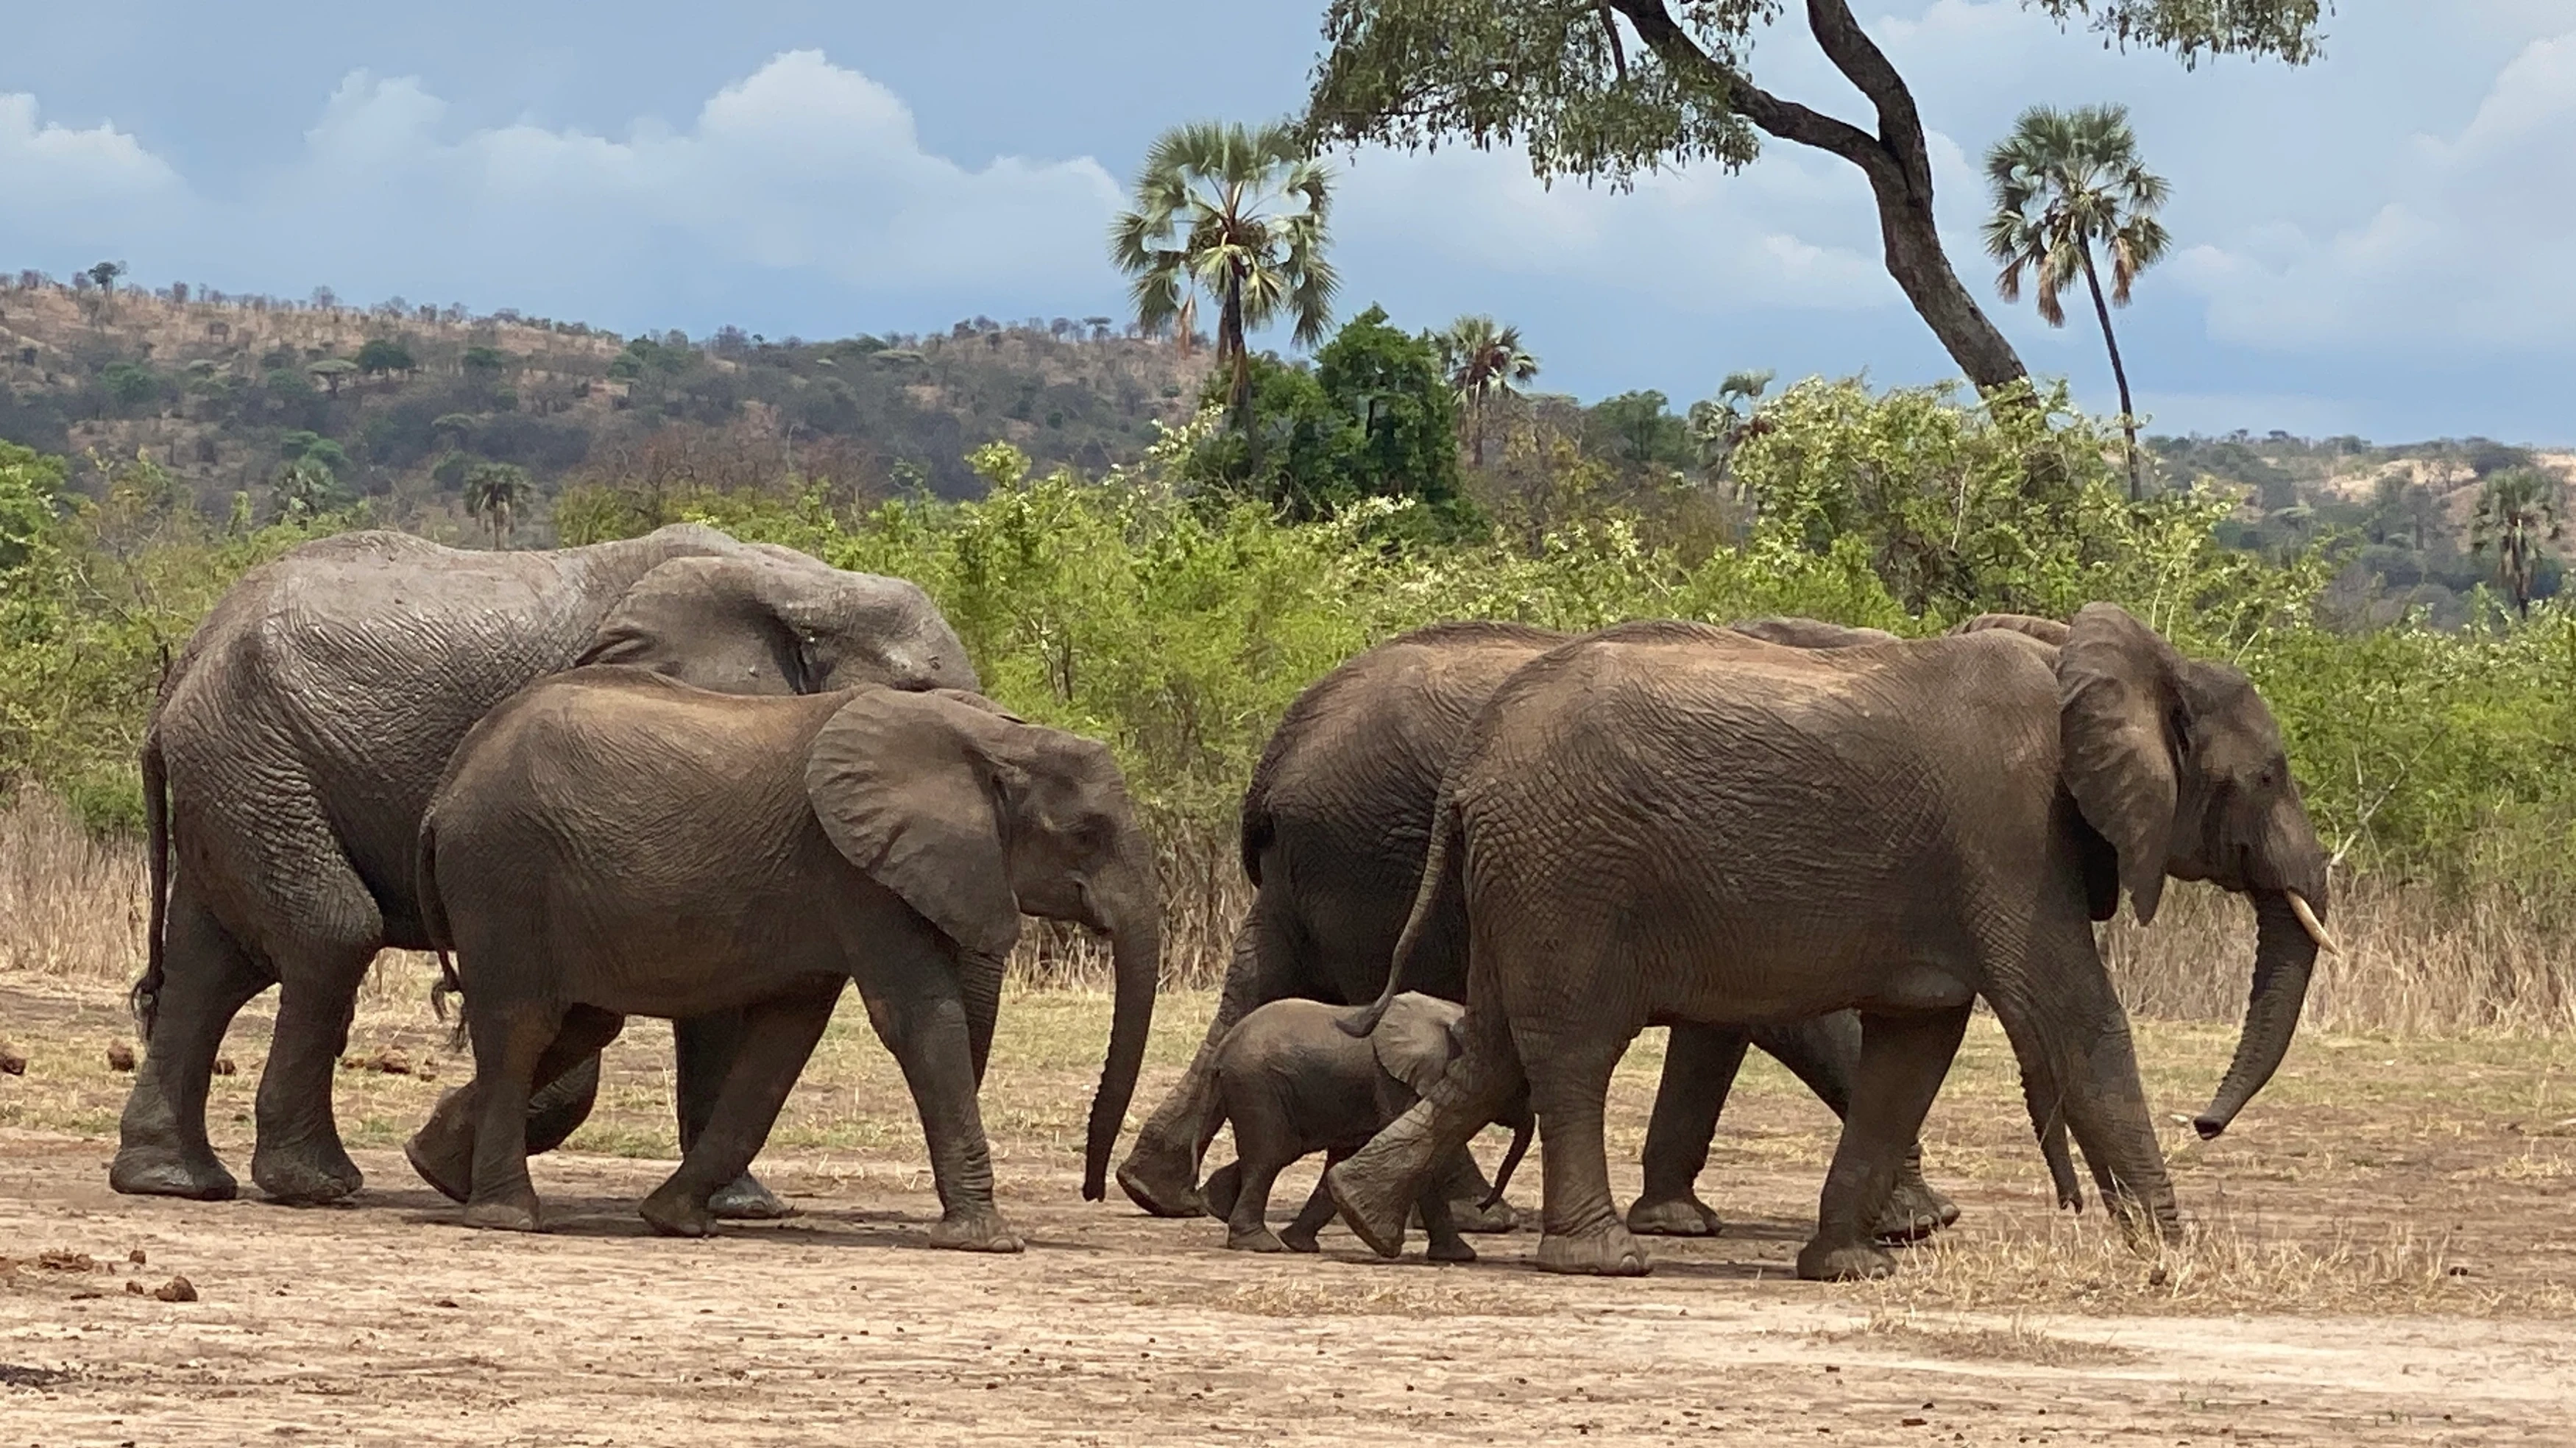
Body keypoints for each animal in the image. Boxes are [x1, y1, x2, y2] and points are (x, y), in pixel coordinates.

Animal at [114, 523, 977, 1209]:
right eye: (916, 695)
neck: (807, 585)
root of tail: (188, 657)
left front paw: (739, 1207)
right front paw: (452, 1168)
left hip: (238, 768)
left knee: (210, 965)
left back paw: (173, 1182)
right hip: (256, 758)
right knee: (328, 936)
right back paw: (317, 1188)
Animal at [404, 669, 1159, 1246]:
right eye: (1086, 834)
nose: (1094, 1192)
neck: (994, 738)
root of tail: (443, 793)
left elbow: (781, 1045)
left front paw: (675, 1221)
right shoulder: (854, 871)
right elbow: (917, 1018)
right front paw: (989, 1241)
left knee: (578, 1024)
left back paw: (437, 1171)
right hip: (502, 873)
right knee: (523, 1023)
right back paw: (506, 1218)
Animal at [1196, 993, 1532, 1257]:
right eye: (1518, 1086)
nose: (1483, 1206)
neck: (1449, 1017)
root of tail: (1222, 1050)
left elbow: (1342, 1159)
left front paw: (1301, 1244)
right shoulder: (1395, 1082)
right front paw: (1461, 1256)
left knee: (1279, 1151)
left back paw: (1217, 1206)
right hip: (1256, 1085)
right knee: (1270, 1156)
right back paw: (1259, 1244)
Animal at [1326, 604, 2338, 1280]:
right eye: (2267, 775)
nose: (2204, 1122)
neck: (2093, 658)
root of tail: (1472, 760)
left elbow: (1915, 1046)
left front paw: (1850, 1270)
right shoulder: (2008, 831)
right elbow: (2072, 1019)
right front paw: (2174, 1256)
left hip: (1524, 874)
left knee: (1494, 1047)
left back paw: (1365, 1219)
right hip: (1567, 868)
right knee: (1570, 1049)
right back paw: (1602, 1258)